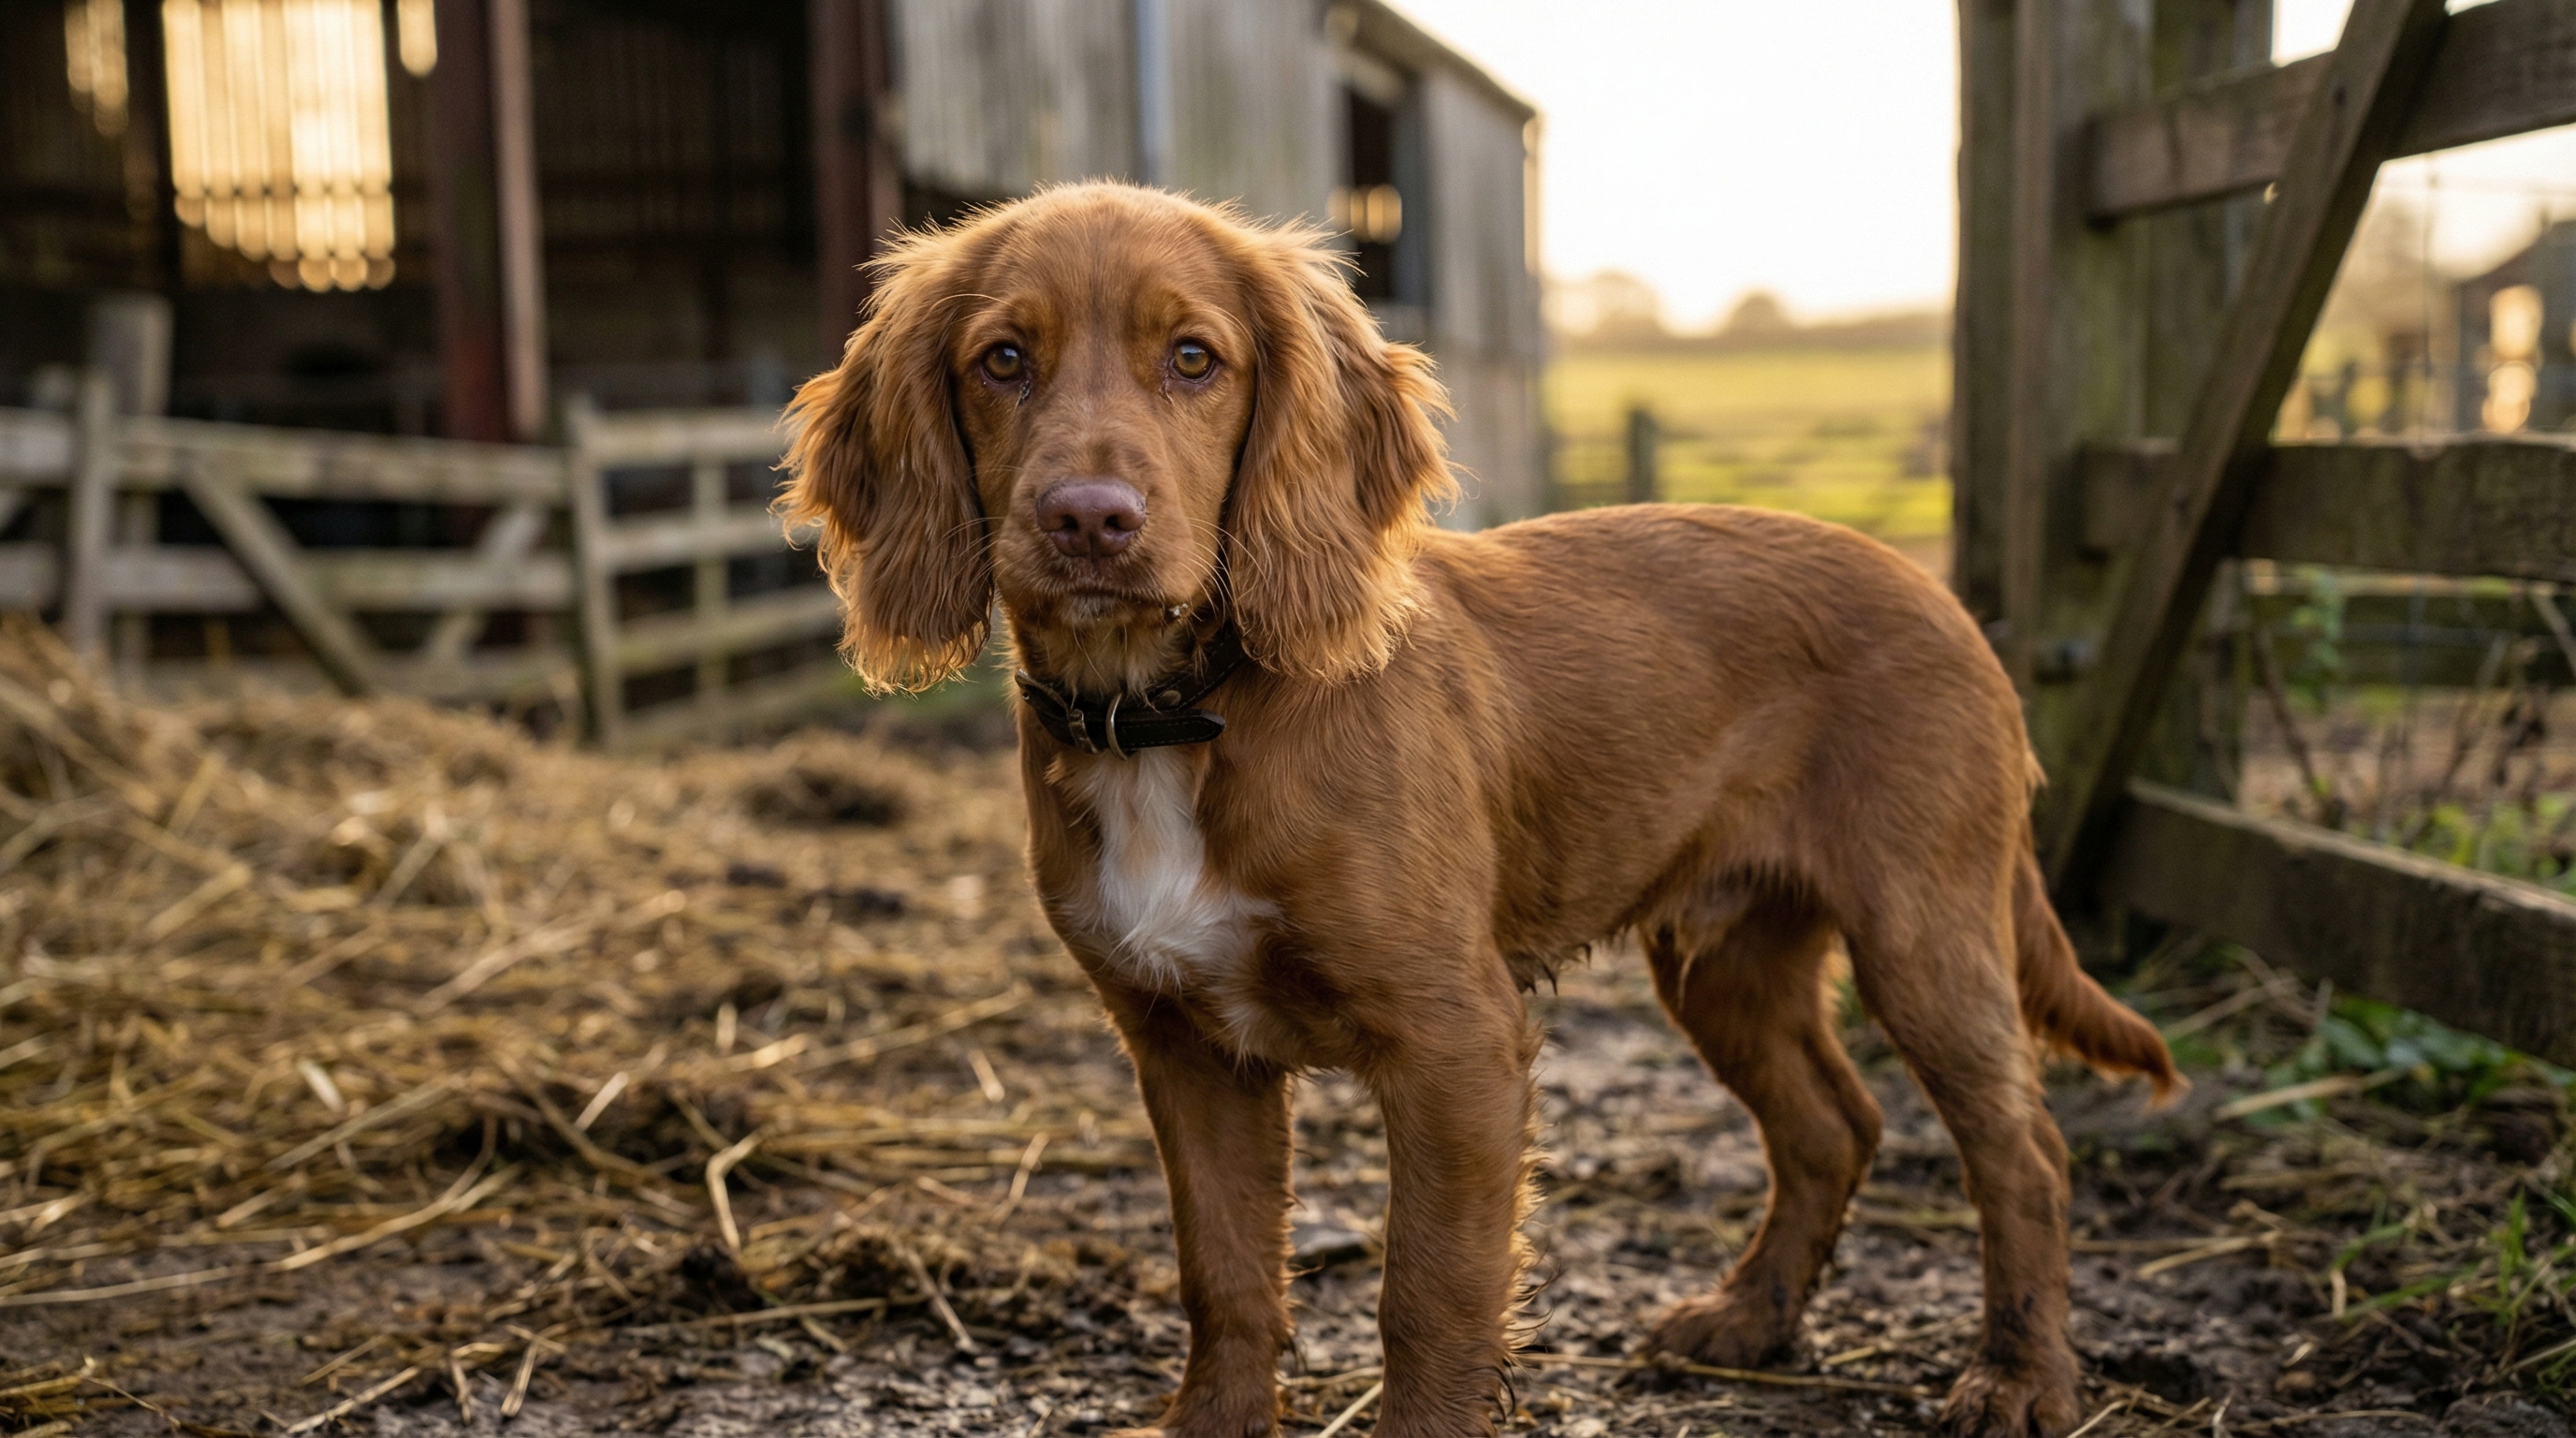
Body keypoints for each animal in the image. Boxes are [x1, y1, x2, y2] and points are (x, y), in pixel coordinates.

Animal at [781, 182, 2177, 1438]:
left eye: (1192, 360)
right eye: (1002, 361)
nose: (1086, 520)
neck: (1178, 712)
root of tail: (1942, 597)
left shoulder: (1456, 1044)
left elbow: (1429, 1294)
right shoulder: (1183, 1048)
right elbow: (1223, 1273)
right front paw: (1210, 1424)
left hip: (1925, 931)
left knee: (2022, 1151)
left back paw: (2019, 1381)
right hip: (1726, 958)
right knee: (1834, 1125)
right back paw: (1749, 1318)